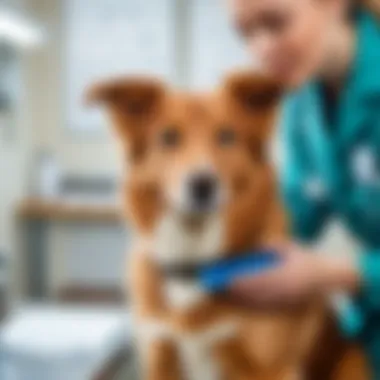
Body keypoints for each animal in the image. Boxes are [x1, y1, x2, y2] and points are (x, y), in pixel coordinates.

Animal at [87, 72, 368, 380]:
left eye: (226, 136)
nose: (202, 185)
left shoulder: (269, 368)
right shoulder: (161, 356)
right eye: (168, 137)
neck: (196, 262)